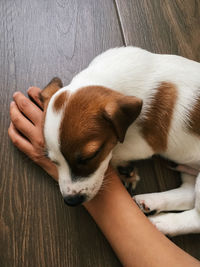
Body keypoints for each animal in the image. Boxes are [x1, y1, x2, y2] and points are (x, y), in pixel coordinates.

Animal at [40, 46, 200, 237]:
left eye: (91, 156)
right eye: (52, 161)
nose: (71, 201)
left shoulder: (144, 144)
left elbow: (116, 152)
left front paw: (124, 168)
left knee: (196, 218)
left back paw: (161, 223)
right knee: (188, 191)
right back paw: (151, 202)